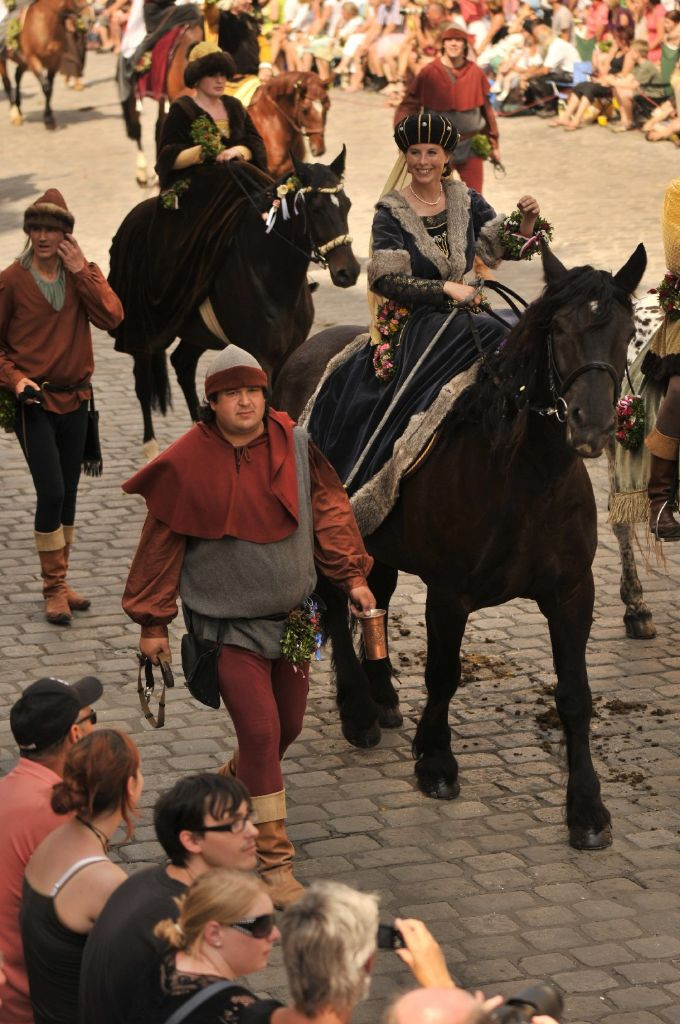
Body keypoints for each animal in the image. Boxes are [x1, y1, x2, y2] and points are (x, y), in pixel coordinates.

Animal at [0, 0, 82, 128]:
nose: (87, 18)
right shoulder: (33, 59)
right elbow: (46, 87)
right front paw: (48, 120)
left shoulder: (55, 60)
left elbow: (50, 89)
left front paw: (49, 117)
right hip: (5, 60)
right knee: (7, 83)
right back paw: (15, 115)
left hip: (23, 61)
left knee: (17, 75)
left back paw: (18, 108)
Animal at [272, 243, 647, 851]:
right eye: (560, 330)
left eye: (626, 332)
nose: (591, 428)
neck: (524, 475)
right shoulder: (450, 594)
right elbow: (443, 674)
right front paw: (436, 761)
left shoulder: (572, 594)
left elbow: (575, 695)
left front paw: (587, 809)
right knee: (331, 602)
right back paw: (359, 711)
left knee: (373, 594)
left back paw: (382, 696)